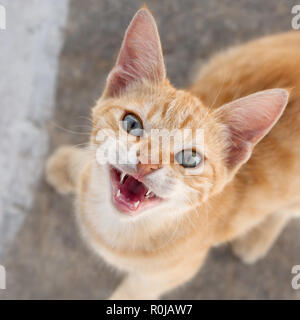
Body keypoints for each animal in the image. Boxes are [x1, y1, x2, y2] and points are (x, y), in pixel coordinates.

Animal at [45, 8, 300, 300]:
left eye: (190, 159)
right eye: (131, 124)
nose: (146, 163)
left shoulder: (171, 274)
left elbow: (133, 292)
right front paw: (69, 164)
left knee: (286, 211)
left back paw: (258, 238)